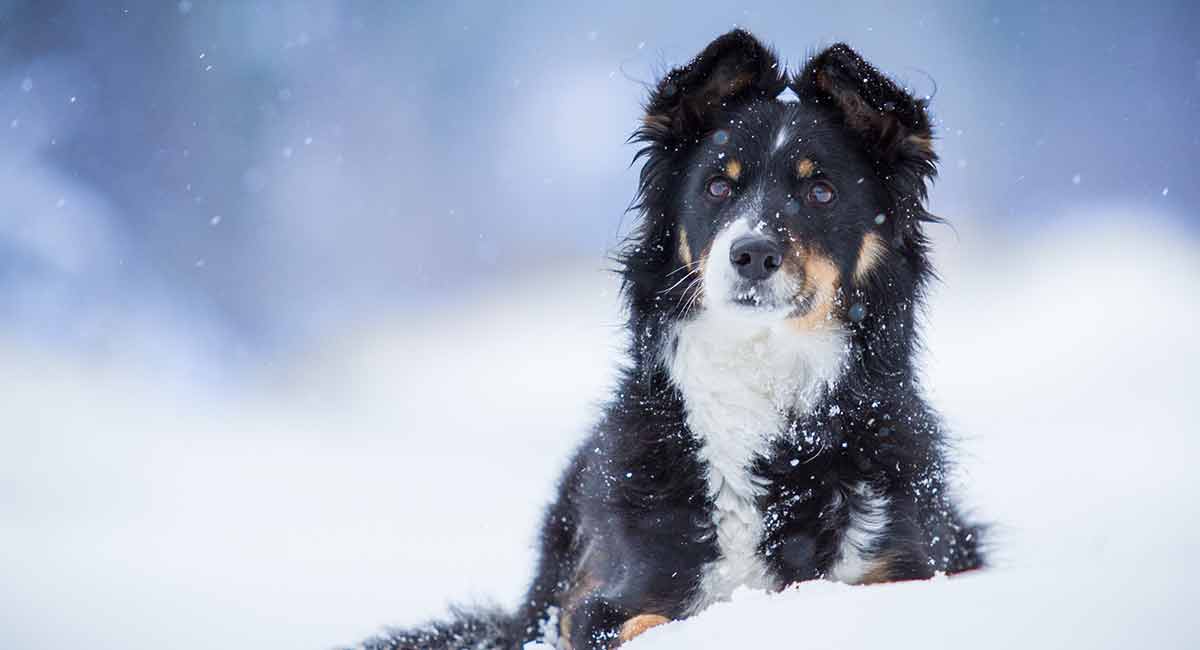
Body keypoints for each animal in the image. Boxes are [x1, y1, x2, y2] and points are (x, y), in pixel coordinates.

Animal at [355, 29, 984, 650]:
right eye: (718, 186)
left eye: (822, 192)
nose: (752, 254)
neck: (761, 370)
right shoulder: (600, 599)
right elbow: (644, 619)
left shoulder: (902, 563)